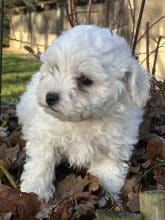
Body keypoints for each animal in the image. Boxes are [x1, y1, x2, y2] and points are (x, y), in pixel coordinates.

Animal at [16, 25, 150, 203]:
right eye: (55, 68)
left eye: (85, 80)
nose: (50, 97)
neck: (83, 121)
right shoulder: (45, 136)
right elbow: (41, 163)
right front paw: (34, 191)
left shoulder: (112, 146)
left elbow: (107, 172)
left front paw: (110, 197)